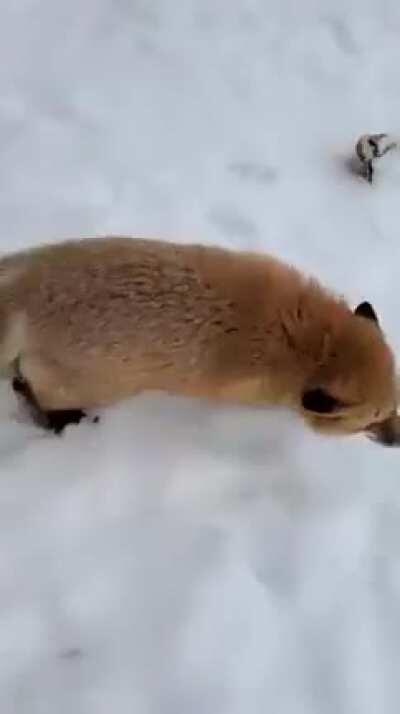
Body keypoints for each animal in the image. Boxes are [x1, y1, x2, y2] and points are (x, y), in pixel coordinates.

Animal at [0, 235, 398, 443]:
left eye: (395, 405)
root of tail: (23, 294)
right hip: (85, 382)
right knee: (32, 390)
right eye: (370, 422)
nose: (396, 440)